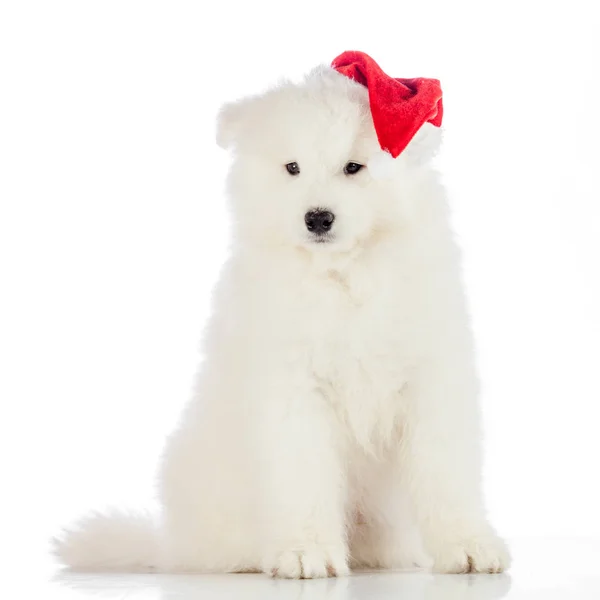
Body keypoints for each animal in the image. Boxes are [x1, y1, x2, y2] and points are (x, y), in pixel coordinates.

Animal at [54, 59, 508, 576]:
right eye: (292, 168)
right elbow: (302, 476)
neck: (341, 275)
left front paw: (468, 544)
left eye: (353, 167)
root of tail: (169, 546)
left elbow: (445, 470)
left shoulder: (430, 379)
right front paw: (305, 551)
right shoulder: (293, 389)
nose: (318, 218)